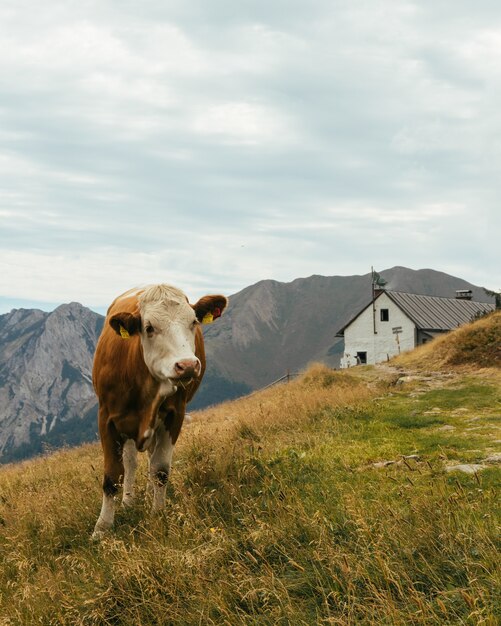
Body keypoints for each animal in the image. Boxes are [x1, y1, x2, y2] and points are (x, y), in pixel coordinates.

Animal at [91, 282, 227, 536]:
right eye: (149, 327)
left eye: (193, 321)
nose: (187, 365)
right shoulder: (106, 418)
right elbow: (112, 476)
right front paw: (102, 528)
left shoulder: (175, 415)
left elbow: (160, 470)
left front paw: (158, 513)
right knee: (130, 462)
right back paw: (129, 501)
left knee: (151, 460)